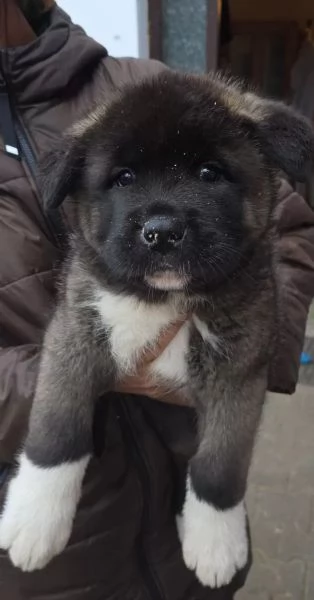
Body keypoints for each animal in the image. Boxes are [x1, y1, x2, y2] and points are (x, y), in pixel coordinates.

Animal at [0, 70, 314, 584]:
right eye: (123, 178)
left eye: (209, 173)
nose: (162, 232)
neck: (163, 298)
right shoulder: (74, 333)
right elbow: (57, 427)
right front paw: (35, 518)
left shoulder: (240, 368)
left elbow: (219, 465)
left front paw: (217, 540)